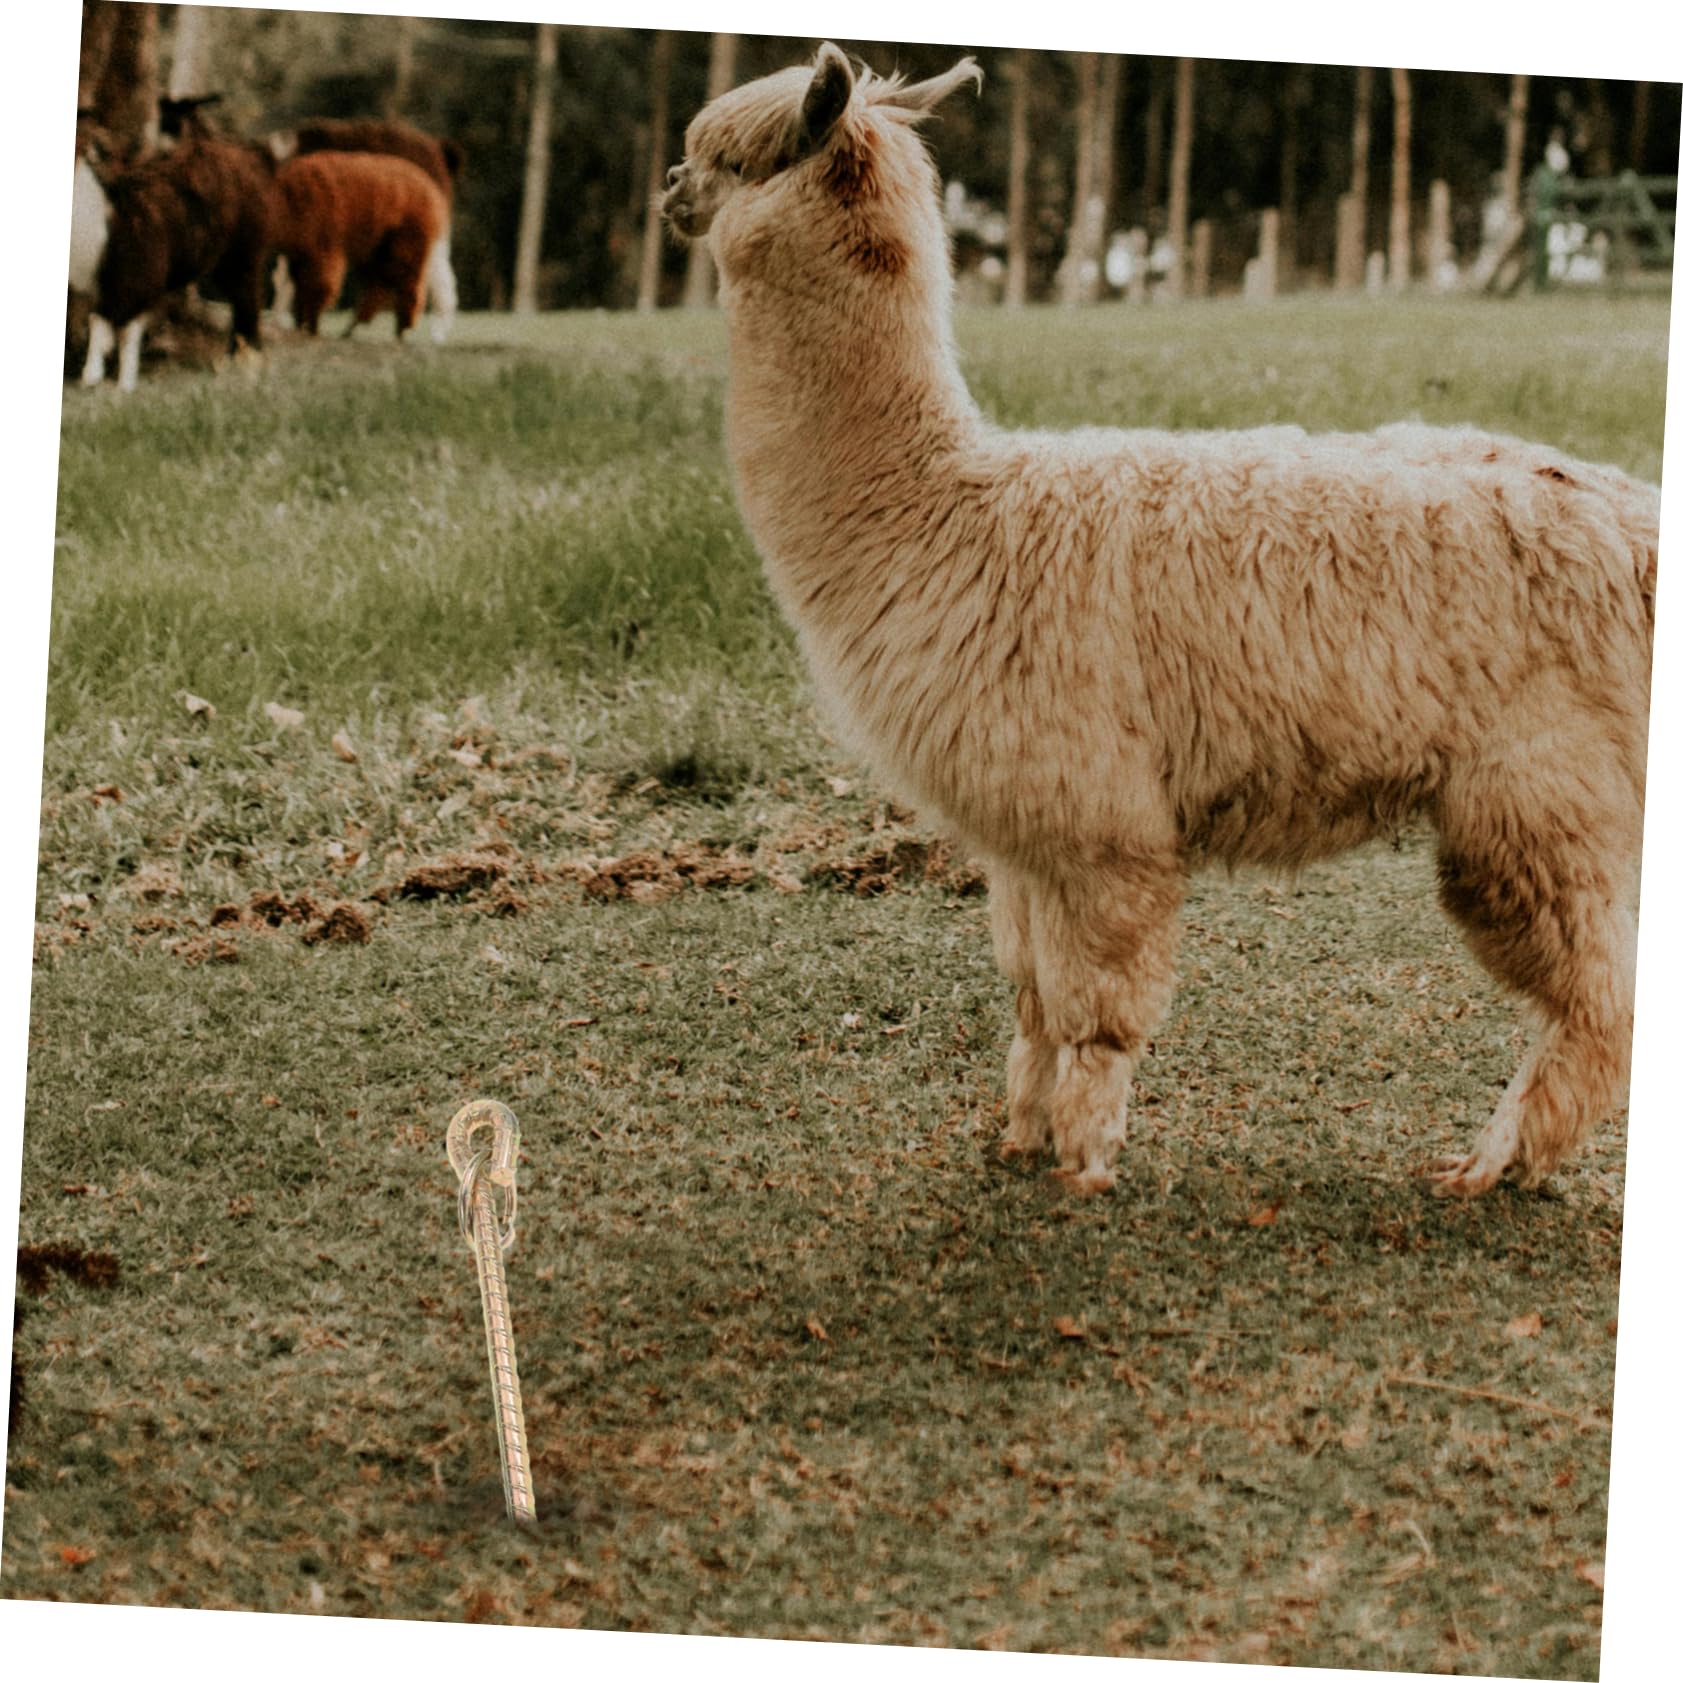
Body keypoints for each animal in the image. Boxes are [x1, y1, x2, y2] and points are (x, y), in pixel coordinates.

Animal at [70, 127, 277, 391]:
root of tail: (249, 154)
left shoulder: (136, 277)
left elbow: (126, 332)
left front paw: (124, 385)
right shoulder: (106, 284)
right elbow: (98, 322)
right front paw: (92, 376)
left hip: (244, 250)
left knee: (248, 299)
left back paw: (247, 358)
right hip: (225, 261)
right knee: (240, 300)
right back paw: (232, 359)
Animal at [270, 117, 462, 342]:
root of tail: (441, 150)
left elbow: (293, 279)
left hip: (413, 233)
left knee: (431, 276)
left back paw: (431, 331)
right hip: (388, 240)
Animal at [661, 44, 1659, 1199]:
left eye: (735, 156)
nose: (670, 191)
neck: (949, 513)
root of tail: (1637, 518)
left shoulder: (1102, 818)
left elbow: (1097, 1007)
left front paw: (1084, 1164)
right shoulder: (1027, 831)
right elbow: (1032, 997)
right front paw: (1021, 1136)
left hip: (1535, 791)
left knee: (1596, 995)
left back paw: (1493, 1164)